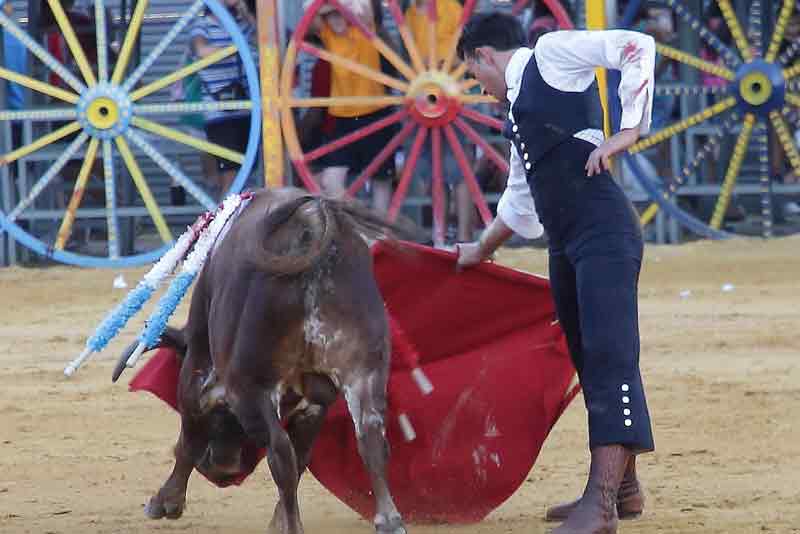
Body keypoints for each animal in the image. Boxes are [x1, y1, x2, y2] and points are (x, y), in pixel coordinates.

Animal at [115, 186, 412, 532]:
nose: (221, 468)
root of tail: (310, 223)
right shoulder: (317, 399)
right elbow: (305, 453)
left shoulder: (200, 367)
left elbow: (189, 434)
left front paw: (165, 502)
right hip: (364, 369)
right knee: (370, 436)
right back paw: (389, 519)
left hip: (251, 384)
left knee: (280, 451)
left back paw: (295, 527)